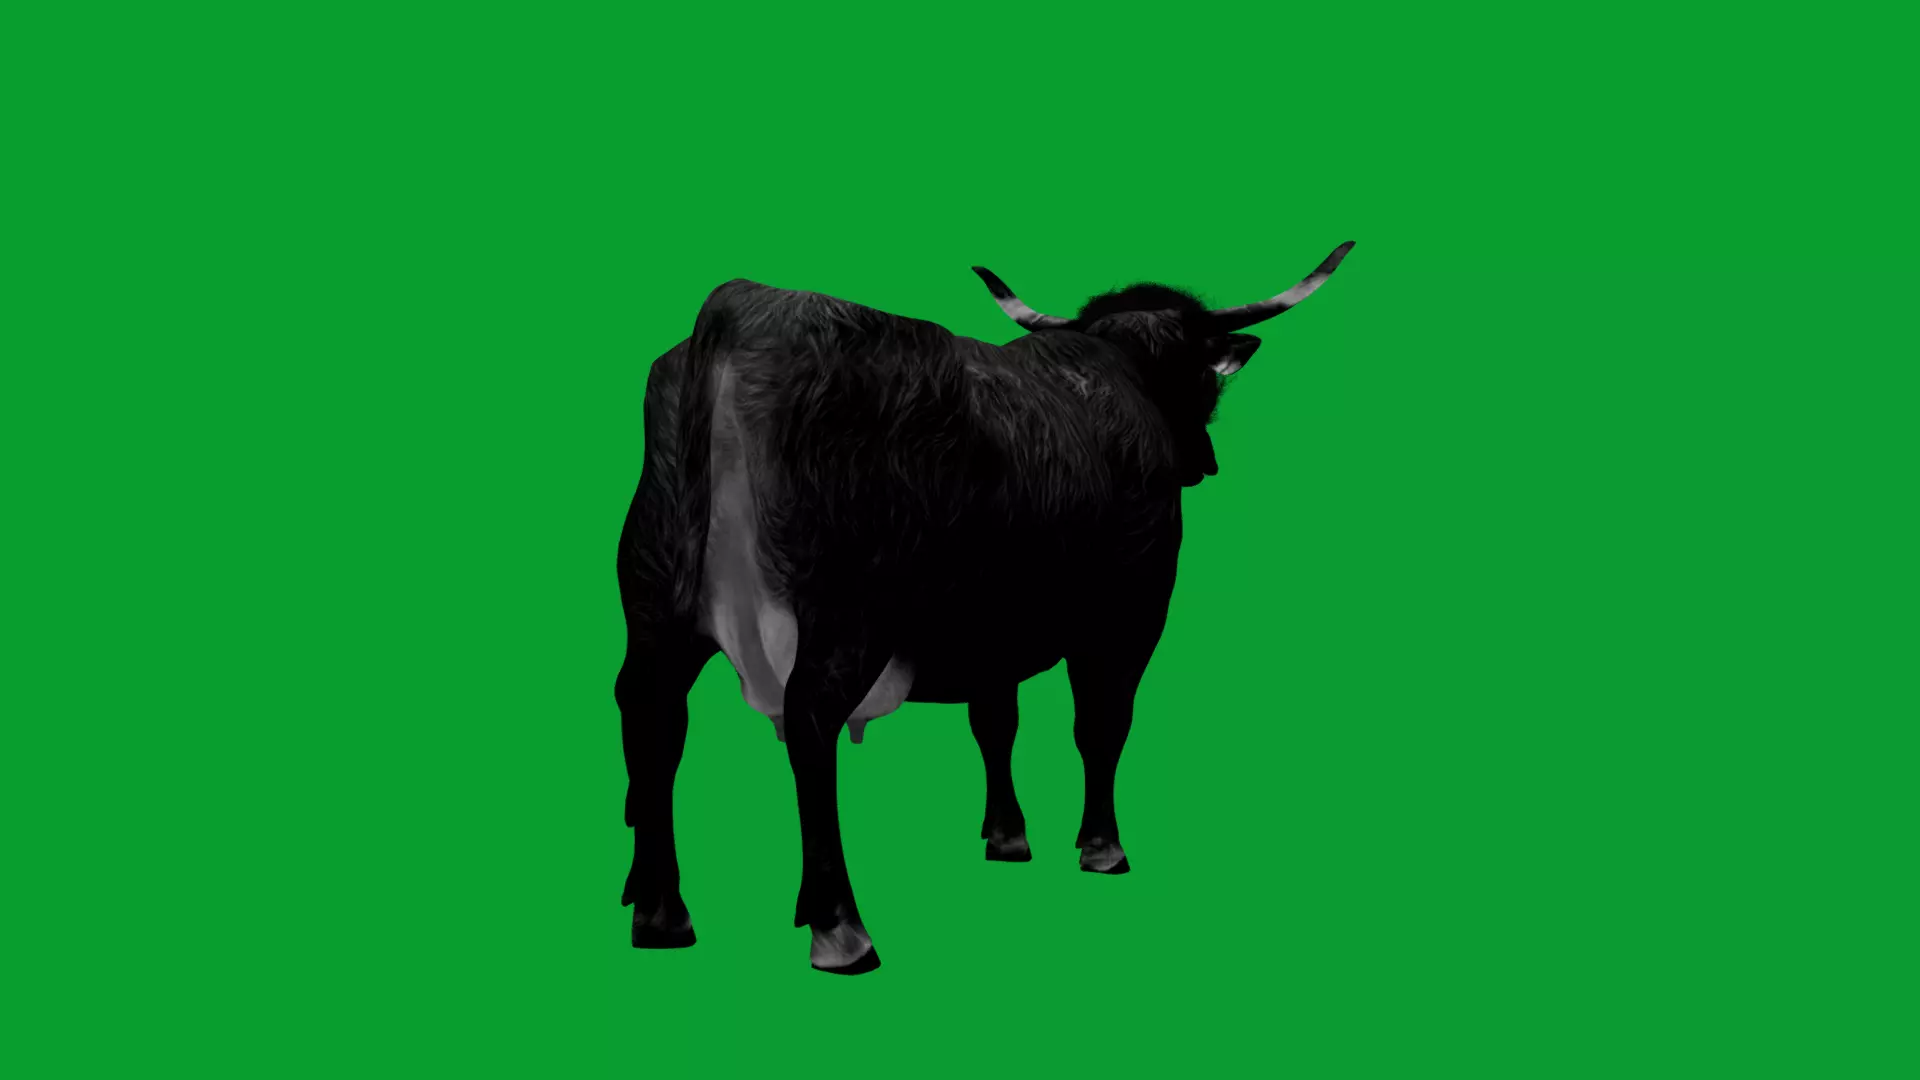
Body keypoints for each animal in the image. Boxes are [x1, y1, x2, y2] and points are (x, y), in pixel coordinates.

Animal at [615, 242, 1355, 974]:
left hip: (657, 607)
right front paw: (1101, 846)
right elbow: (1102, 726)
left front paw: (1006, 836)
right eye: (1200, 379)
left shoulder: (993, 627)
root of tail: (749, 306)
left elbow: (995, 722)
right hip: (847, 618)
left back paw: (661, 913)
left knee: (652, 715)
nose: (1204, 461)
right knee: (809, 721)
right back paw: (841, 928)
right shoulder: (1130, 615)